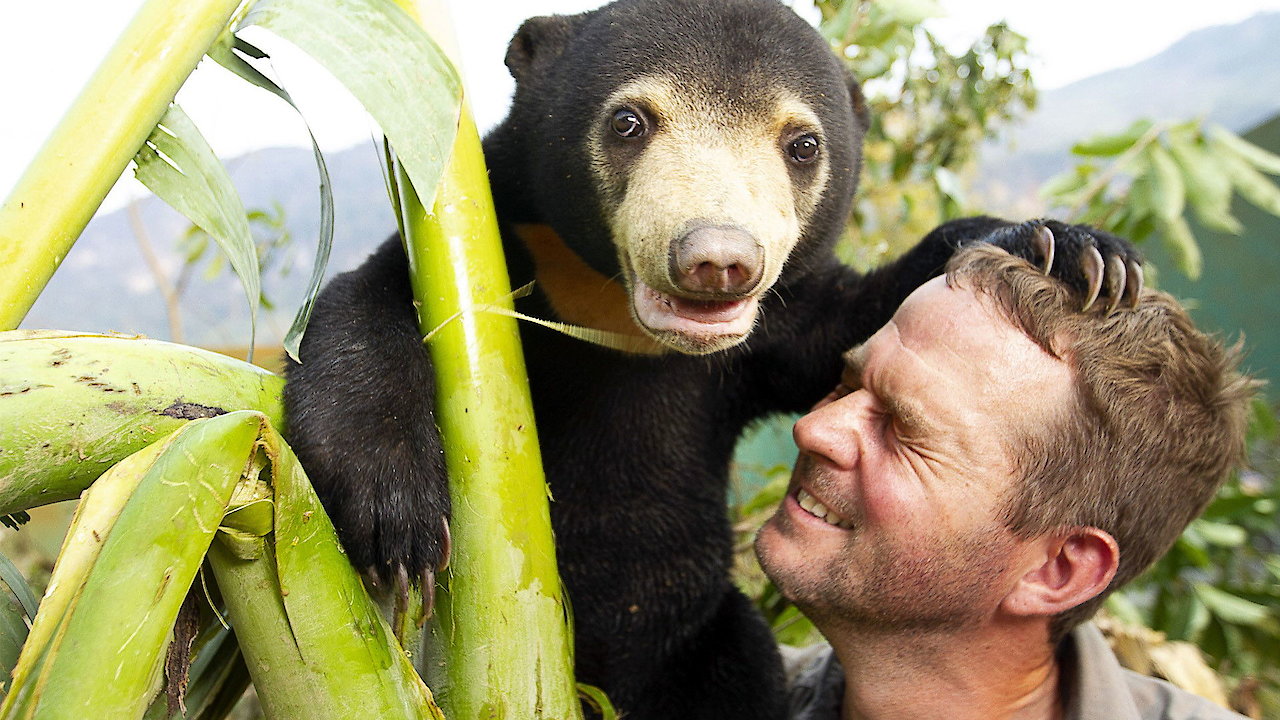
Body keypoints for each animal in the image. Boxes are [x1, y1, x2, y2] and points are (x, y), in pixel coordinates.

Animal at [282, 0, 1142, 718]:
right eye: (629, 120)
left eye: (802, 144)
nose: (718, 261)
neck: (616, 316)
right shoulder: (498, 248)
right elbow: (371, 305)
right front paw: (396, 518)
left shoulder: (772, 334)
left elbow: (853, 317)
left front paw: (1076, 252)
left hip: (705, 635)